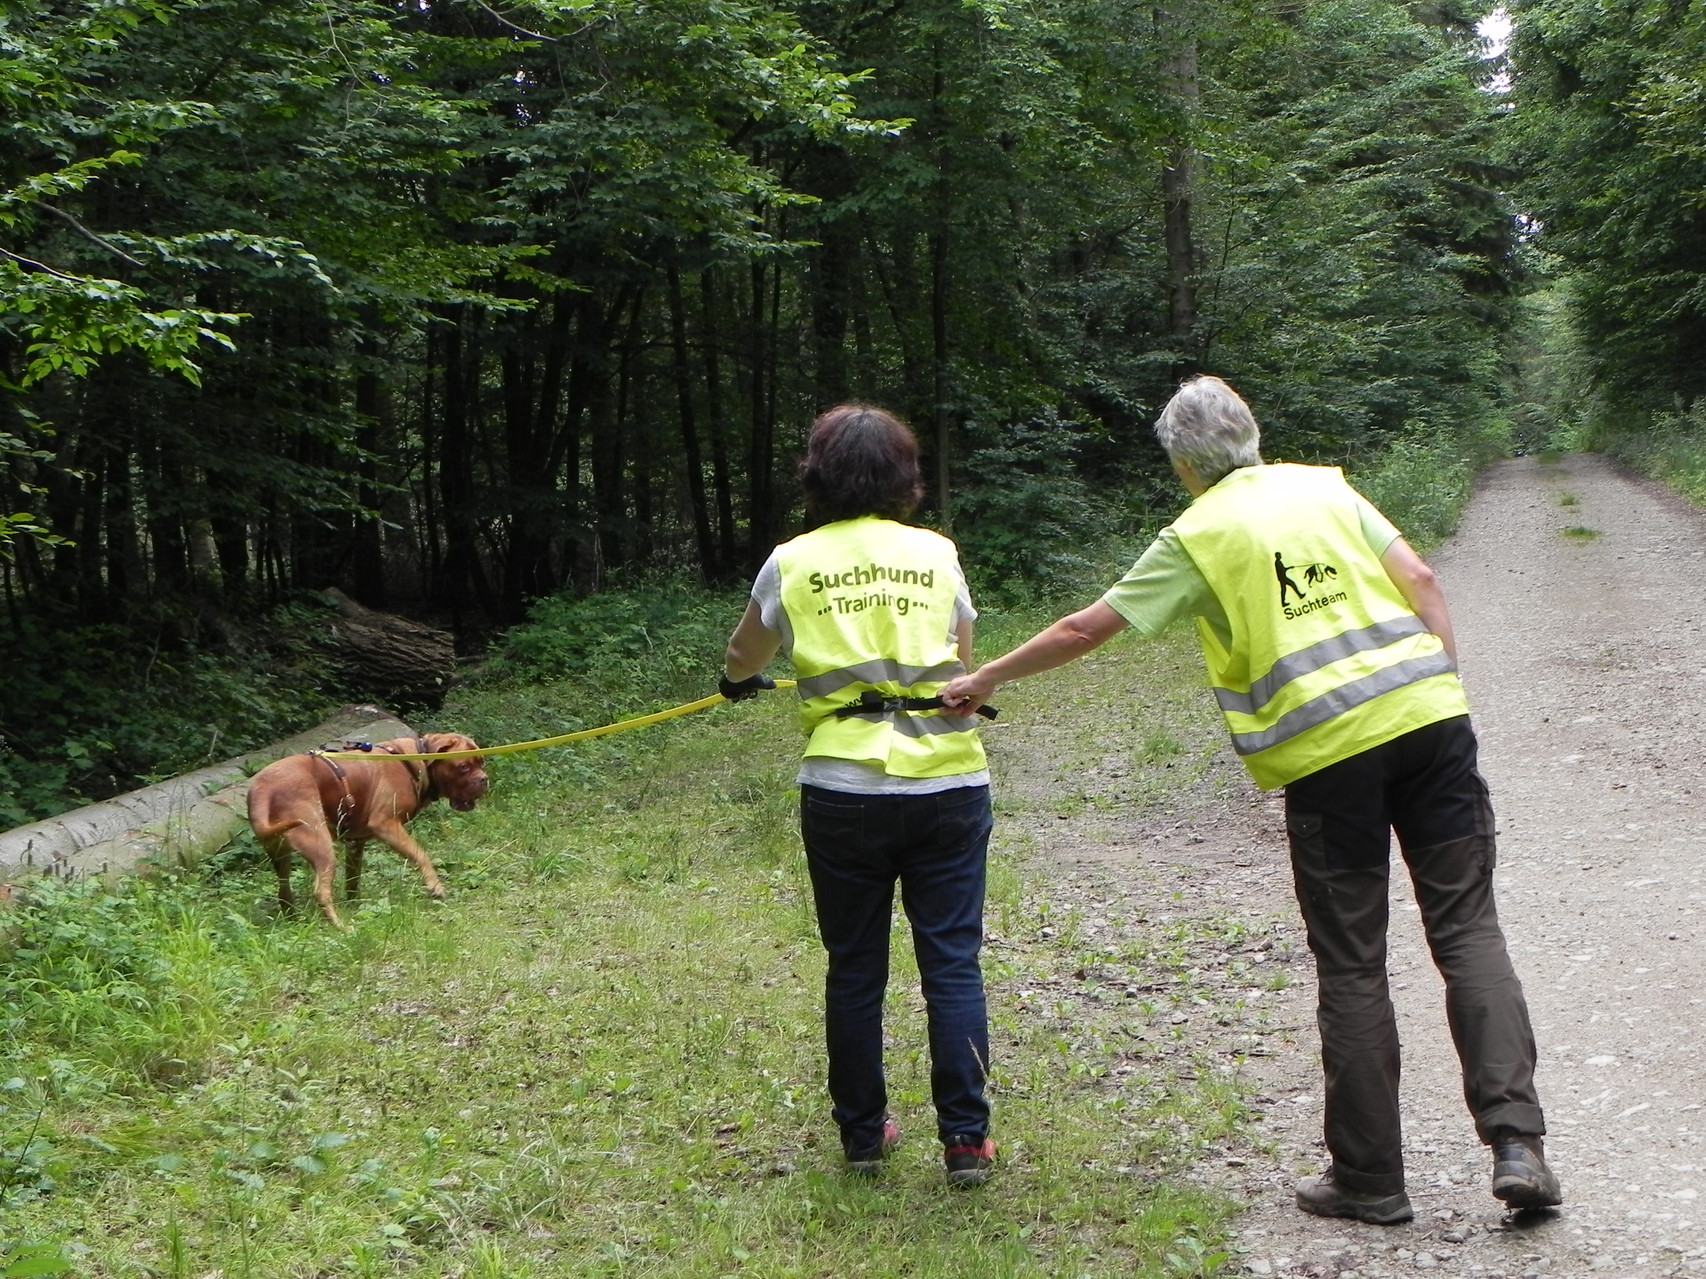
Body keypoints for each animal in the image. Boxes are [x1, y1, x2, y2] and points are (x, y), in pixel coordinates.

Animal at [243, 736, 491, 927]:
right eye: (463, 767)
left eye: (481, 761)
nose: (484, 779)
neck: (416, 760)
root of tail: (262, 789)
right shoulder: (386, 825)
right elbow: (421, 854)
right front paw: (435, 886)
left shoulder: (355, 843)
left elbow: (353, 880)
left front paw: (355, 905)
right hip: (320, 846)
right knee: (320, 891)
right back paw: (340, 927)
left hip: (280, 854)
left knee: (283, 891)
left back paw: (293, 919)